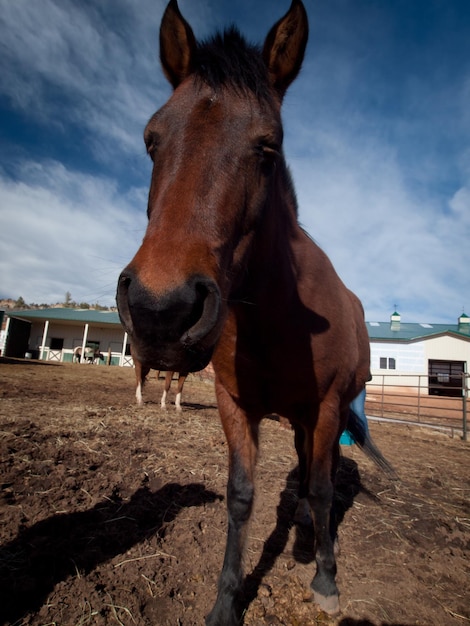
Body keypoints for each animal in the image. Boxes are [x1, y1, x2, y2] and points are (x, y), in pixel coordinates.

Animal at [115, 2, 392, 620]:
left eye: (268, 146)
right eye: (151, 140)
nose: (160, 310)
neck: (275, 316)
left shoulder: (328, 407)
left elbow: (322, 487)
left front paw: (327, 581)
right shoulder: (235, 405)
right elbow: (241, 496)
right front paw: (225, 603)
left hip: (322, 414)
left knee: (320, 475)